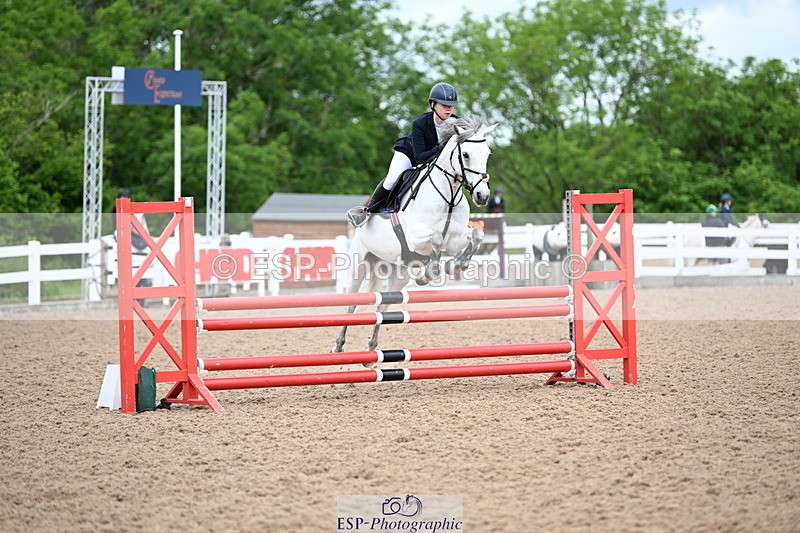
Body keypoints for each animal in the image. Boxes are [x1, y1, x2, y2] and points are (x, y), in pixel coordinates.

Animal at [333, 115, 499, 353]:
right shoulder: (415, 238)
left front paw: (456, 265)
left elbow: (476, 234)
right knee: (351, 303)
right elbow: (436, 239)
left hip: (398, 274)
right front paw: (432, 271)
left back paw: (372, 346)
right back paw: (338, 346)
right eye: (466, 154)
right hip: (359, 265)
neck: (448, 196)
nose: (482, 195)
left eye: (487, 153)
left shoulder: (455, 239)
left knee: (383, 306)